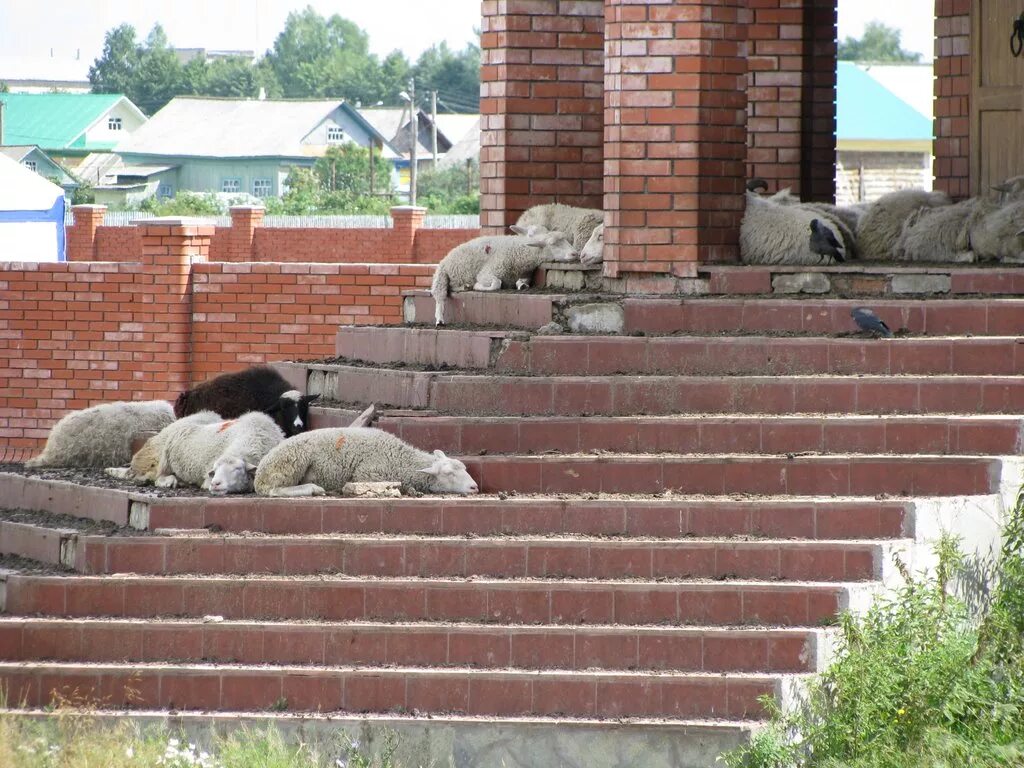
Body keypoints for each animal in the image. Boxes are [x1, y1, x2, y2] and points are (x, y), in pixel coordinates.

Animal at [154, 411, 284, 495]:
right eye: (215, 470)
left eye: (238, 469)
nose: (215, 484)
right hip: (166, 464)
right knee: (158, 478)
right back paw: (169, 481)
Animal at [253, 428, 481, 499]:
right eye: (449, 474)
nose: (475, 487)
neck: (401, 459)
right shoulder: (367, 474)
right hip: (291, 461)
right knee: (273, 490)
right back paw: (314, 488)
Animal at [430, 227, 581, 325]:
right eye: (552, 244)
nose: (575, 253)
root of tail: (447, 256)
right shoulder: (487, 272)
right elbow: (496, 283)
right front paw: (478, 286)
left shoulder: (524, 274)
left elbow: (522, 282)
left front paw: (521, 285)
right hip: (441, 276)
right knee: (440, 296)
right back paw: (440, 319)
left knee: (452, 287)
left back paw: (464, 286)